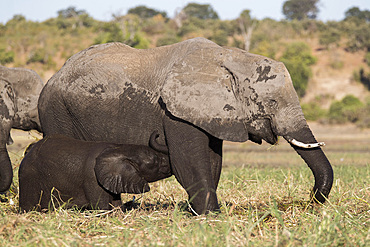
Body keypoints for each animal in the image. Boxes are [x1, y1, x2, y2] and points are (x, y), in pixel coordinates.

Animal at [18, 133, 171, 212]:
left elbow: (116, 203)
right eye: (155, 161)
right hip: (29, 179)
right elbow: (101, 208)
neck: (120, 148)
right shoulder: (92, 179)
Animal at [39, 37, 334, 215]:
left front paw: (203, 213)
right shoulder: (175, 110)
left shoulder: (209, 112)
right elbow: (188, 161)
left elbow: (213, 161)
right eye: (270, 102)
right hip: (56, 111)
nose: (309, 200)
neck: (229, 57)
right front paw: (210, 216)